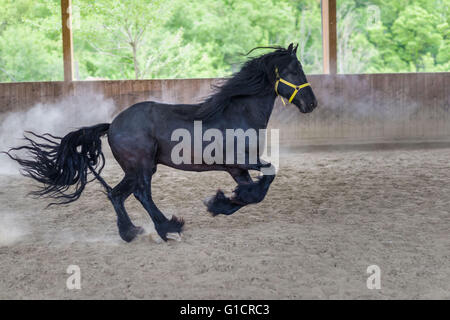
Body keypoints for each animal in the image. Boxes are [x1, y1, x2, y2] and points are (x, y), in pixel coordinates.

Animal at [6, 43, 316, 241]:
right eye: (294, 71)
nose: (311, 103)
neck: (237, 112)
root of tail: (113, 124)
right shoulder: (240, 161)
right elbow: (268, 177)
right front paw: (220, 202)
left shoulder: (237, 169)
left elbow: (255, 193)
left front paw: (221, 203)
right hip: (142, 166)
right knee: (141, 194)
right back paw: (168, 228)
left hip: (137, 169)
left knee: (116, 195)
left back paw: (131, 232)